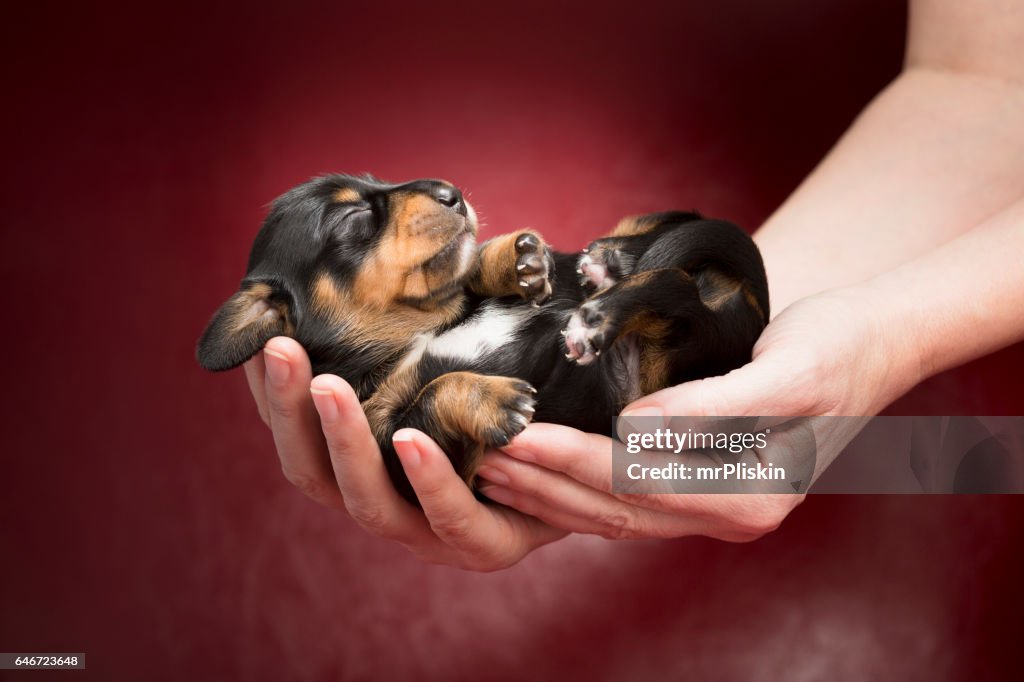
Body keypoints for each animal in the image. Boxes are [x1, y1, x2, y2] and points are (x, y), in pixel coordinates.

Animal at [197, 174, 770, 503]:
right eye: (354, 216)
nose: (451, 192)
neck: (426, 326)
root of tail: (746, 309)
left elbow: (475, 269)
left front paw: (520, 262)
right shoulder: (402, 456)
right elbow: (432, 394)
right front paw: (496, 403)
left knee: (669, 272)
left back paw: (606, 270)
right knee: (676, 289)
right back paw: (597, 313)